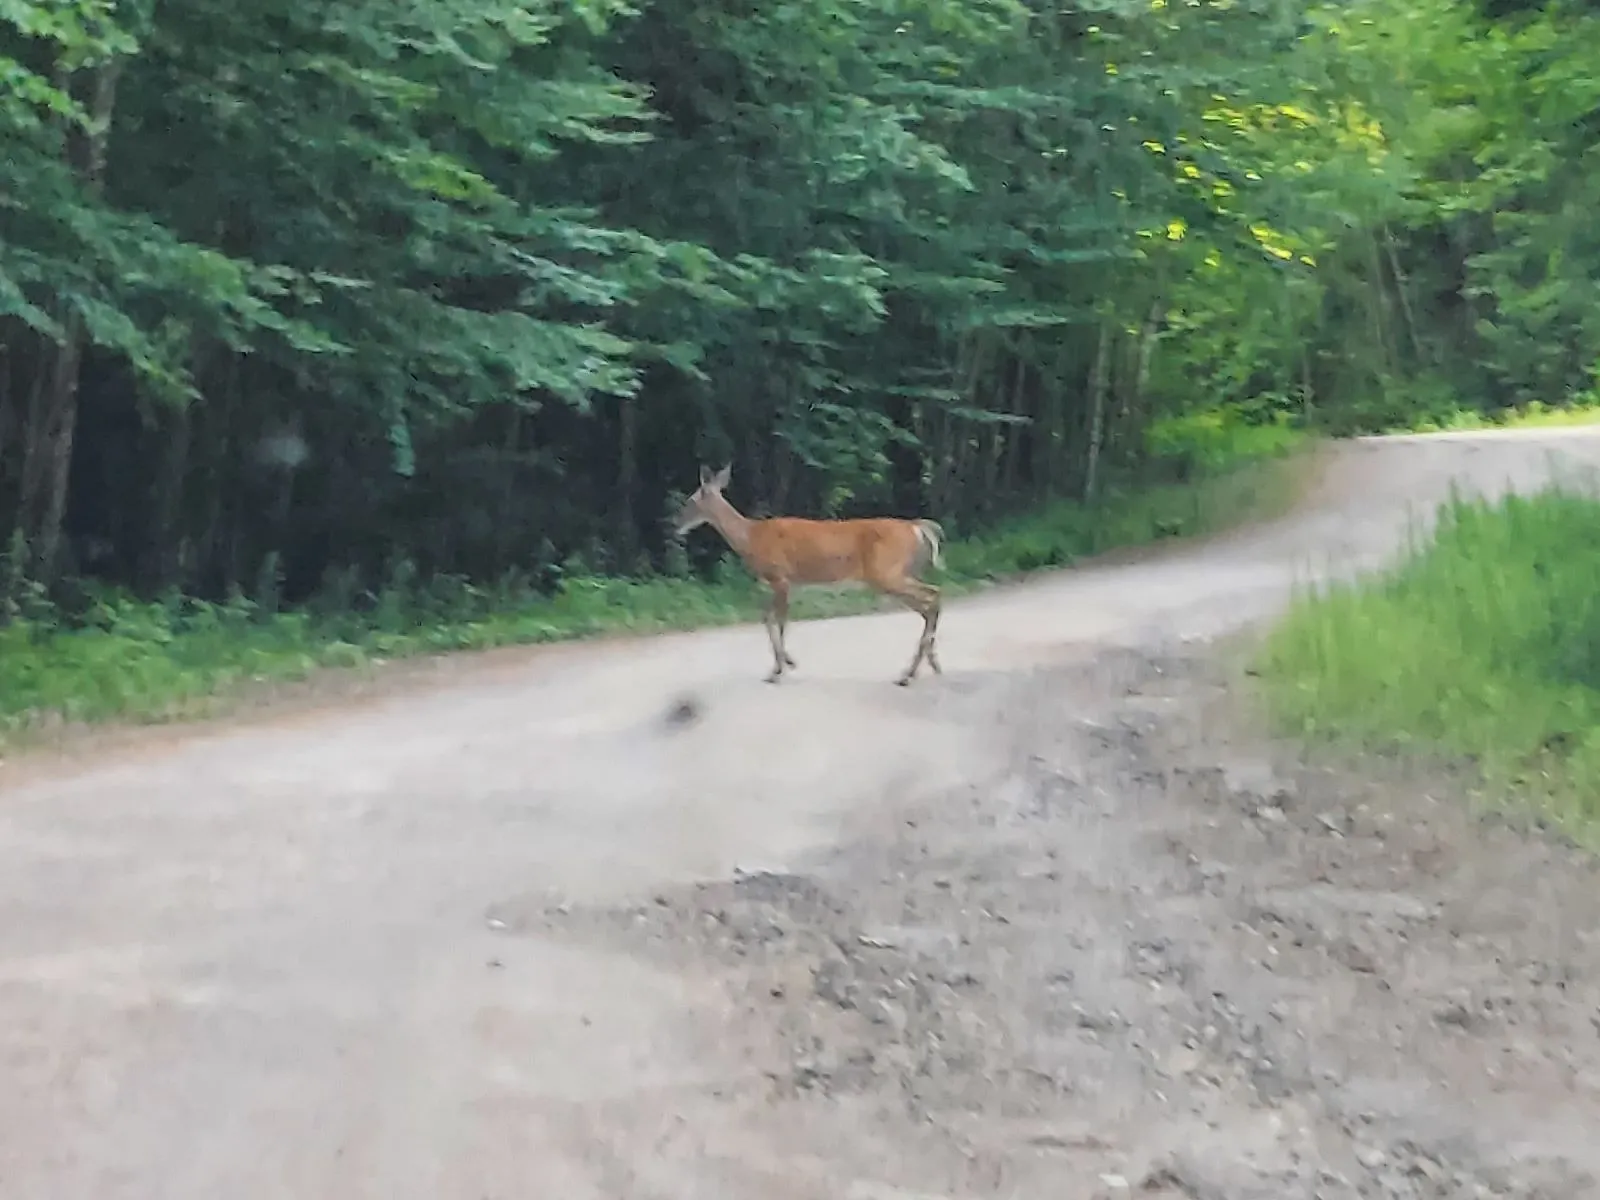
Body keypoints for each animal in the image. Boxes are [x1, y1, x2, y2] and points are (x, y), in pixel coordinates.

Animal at [673, 464, 946, 686]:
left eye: (691, 501)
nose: (676, 526)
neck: (750, 538)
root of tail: (916, 526)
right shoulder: (780, 583)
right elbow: (768, 617)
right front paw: (784, 664)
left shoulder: (780, 577)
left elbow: (780, 621)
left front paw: (780, 669)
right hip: (897, 574)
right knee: (929, 604)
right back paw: (928, 665)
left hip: (886, 574)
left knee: (933, 595)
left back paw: (909, 674)